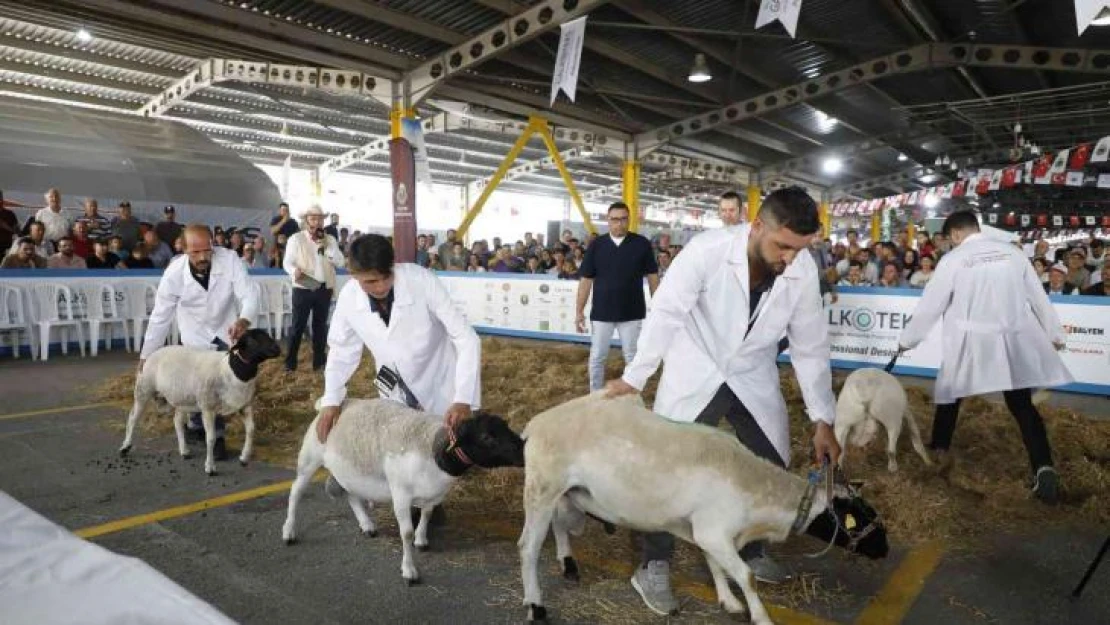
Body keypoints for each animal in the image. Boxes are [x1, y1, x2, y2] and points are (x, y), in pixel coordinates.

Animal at [116, 330, 279, 477]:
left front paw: (244, 458)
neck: (232, 371)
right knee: (132, 418)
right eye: (253, 340)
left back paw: (184, 451)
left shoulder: (245, 406)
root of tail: (153, 353)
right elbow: (211, 438)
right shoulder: (208, 408)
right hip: (143, 390)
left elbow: (251, 430)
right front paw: (210, 467)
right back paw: (125, 447)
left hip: (182, 399)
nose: (277, 348)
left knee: (177, 422)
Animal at [281, 399, 523, 586]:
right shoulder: (400, 494)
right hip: (309, 458)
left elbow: (426, 515)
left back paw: (366, 525)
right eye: (487, 437)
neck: (433, 448)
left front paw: (421, 540)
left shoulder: (431, 495)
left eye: (506, 426)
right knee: (296, 491)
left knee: (352, 495)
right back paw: (289, 531)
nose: (523, 453)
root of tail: (328, 404)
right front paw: (409, 570)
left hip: (350, 471)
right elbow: (405, 533)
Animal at [519, 392, 892, 621]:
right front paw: (760, 616)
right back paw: (536, 605)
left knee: (560, 525)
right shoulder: (714, 531)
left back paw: (568, 565)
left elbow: (716, 564)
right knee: (528, 547)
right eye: (860, 517)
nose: (885, 550)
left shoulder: (706, 530)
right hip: (542, 488)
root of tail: (536, 423)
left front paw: (728, 601)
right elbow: (745, 575)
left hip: (570, 494)